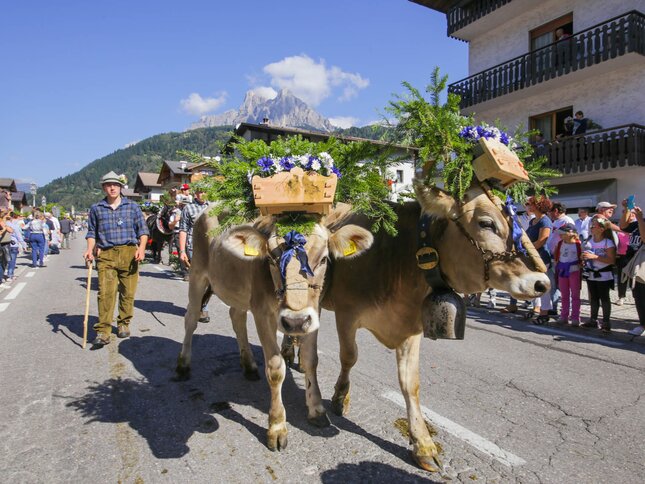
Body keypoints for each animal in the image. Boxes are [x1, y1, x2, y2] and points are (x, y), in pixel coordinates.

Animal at [176, 208, 374, 450]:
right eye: (271, 258)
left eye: (324, 259)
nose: (295, 322)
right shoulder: (262, 312)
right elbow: (276, 368)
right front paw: (277, 427)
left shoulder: (313, 313)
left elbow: (311, 360)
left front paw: (316, 409)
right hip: (197, 272)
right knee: (191, 318)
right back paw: (183, 365)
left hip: (239, 291)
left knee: (237, 318)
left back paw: (249, 365)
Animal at [322, 182, 548, 472]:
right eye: (486, 223)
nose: (541, 282)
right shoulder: (346, 314)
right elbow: (349, 357)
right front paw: (340, 398)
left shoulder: (410, 328)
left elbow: (411, 383)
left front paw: (423, 444)